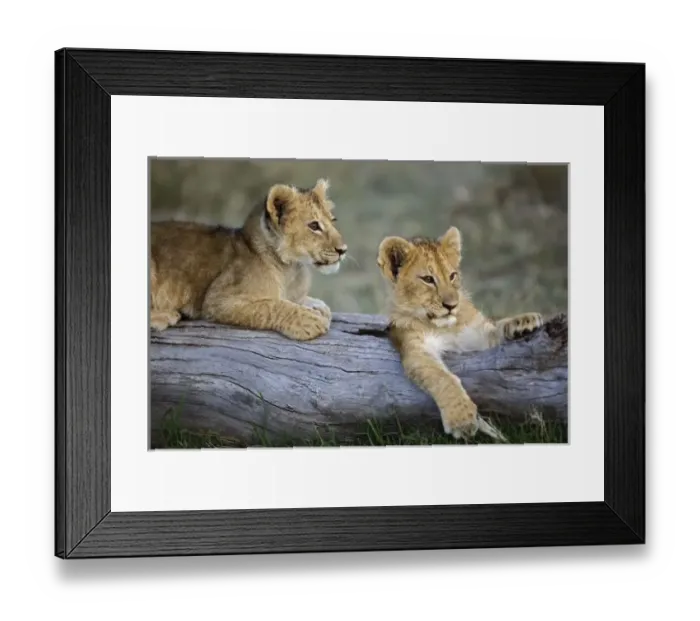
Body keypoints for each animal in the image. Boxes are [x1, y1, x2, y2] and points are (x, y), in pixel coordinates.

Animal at [150, 178, 347, 341]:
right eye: (314, 226)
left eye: (333, 221)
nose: (343, 250)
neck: (292, 268)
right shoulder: (218, 300)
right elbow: (272, 305)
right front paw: (310, 320)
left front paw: (317, 306)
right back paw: (164, 316)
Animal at [377, 226, 543, 442]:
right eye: (428, 279)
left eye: (452, 276)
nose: (451, 305)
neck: (445, 326)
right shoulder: (415, 347)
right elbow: (442, 377)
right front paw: (462, 420)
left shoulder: (475, 336)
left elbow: (496, 328)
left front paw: (524, 321)